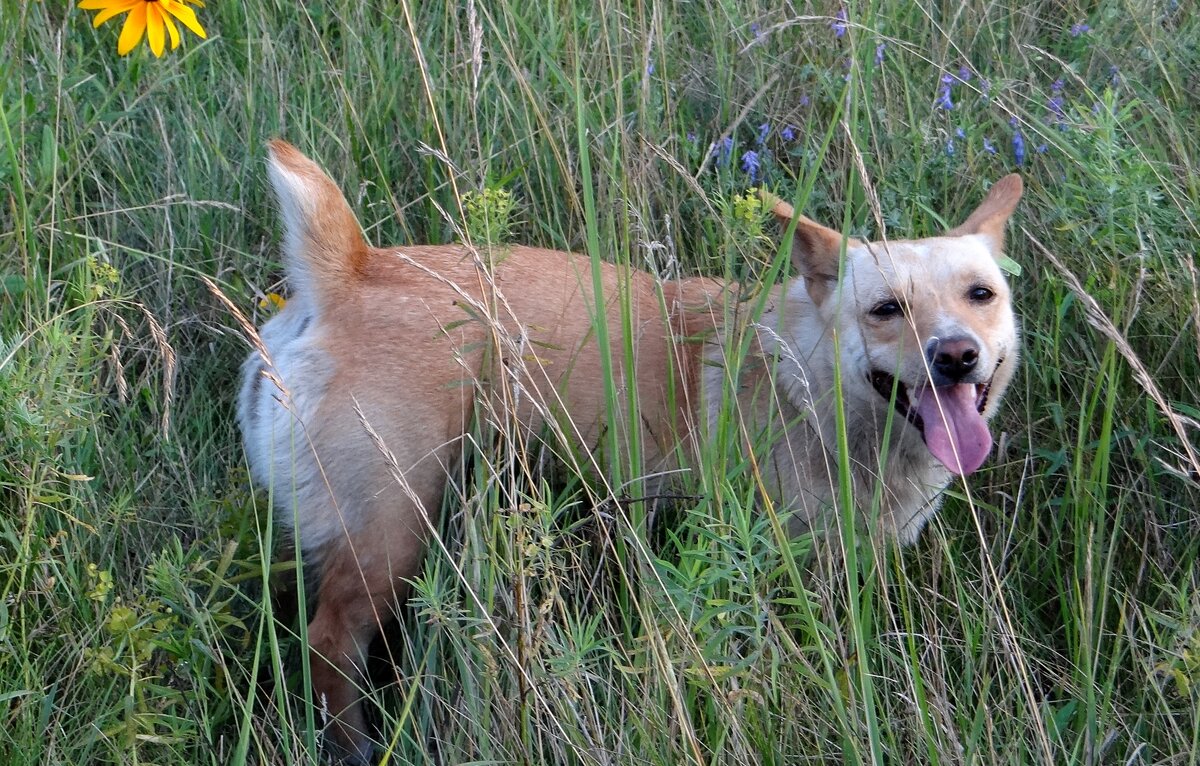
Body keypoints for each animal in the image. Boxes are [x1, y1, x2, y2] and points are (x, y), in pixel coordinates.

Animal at [236, 142, 1022, 763]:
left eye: (981, 295)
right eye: (886, 309)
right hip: (392, 534)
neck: (806, 380)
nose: (956, 355)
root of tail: (351, 272)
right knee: (329, 642)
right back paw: (351, 747)